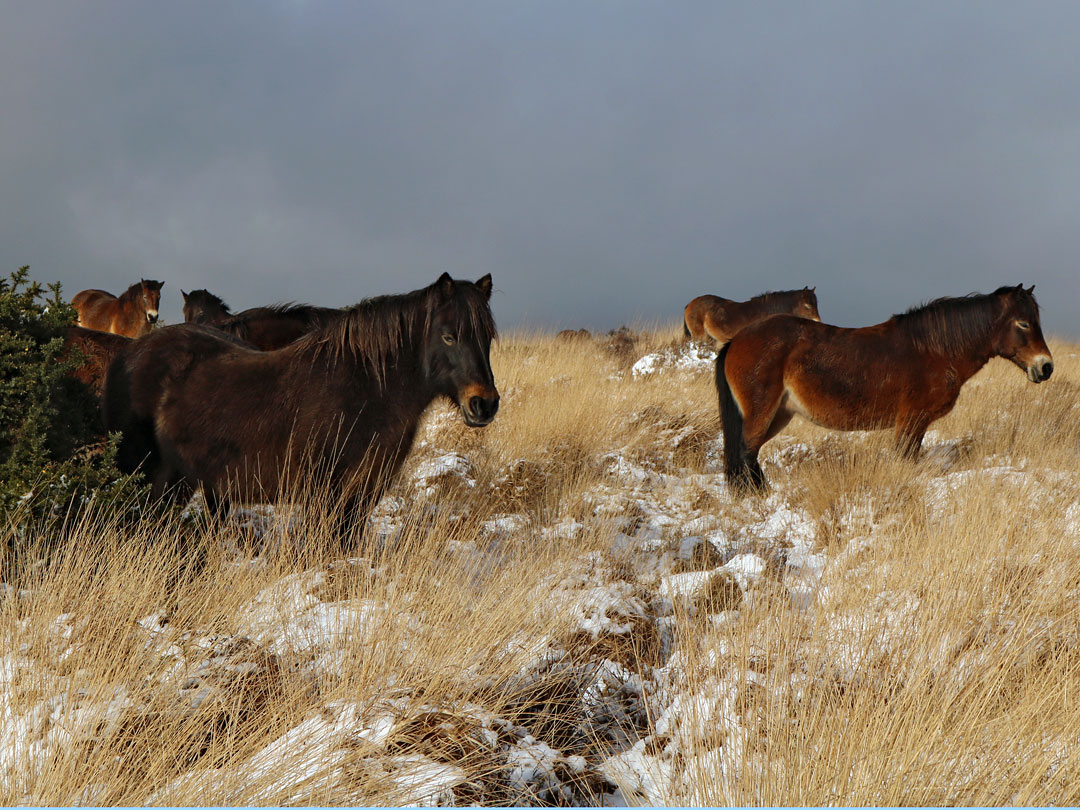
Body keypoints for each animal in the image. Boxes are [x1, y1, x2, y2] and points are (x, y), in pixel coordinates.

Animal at [717, 282, 1054, 494]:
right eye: (1023, 324)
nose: (1046, 367)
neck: (934, 349)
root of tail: (738, 339)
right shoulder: (912, 419)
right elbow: (906, 458)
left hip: (780, 414)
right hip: (763, 412)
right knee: (747, 451)